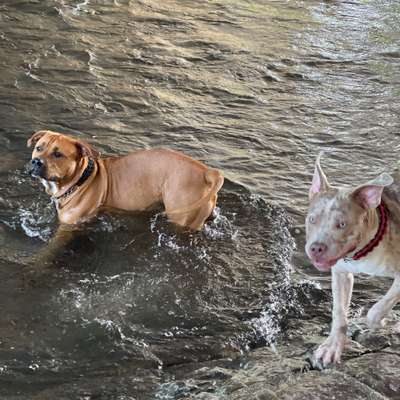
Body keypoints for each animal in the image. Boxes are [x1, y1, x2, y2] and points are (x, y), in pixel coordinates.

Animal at [26, 131, 223, 268]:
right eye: (39, 148)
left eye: (58, 154)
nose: (36, 162)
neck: (81, 180)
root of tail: (207, 172)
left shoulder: (67, 228)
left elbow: (48, 251)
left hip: (181, 217)